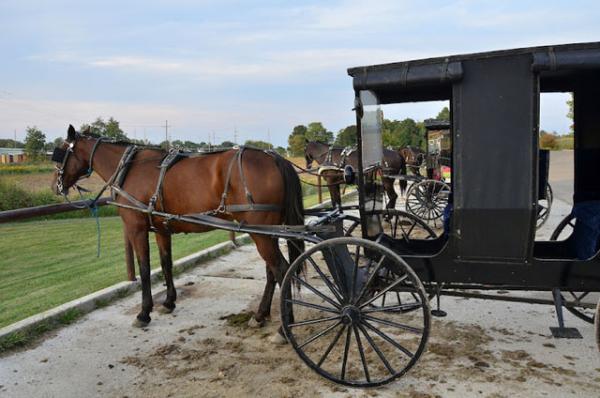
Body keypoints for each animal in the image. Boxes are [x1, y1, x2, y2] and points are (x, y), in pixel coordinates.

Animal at [51, 126, 302, 332]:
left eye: (61, 152)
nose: (55, 185)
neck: (129, 168)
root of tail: (273, 157)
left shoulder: (136, 228)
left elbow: (144, 268)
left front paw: (144, 313)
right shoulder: (162, 228)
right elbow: (165, 263)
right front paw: (169, 301)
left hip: (261, 232)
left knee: (281, 269)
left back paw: (285, 327)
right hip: (267, 231)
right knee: (272, 271)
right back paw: (260, 316)